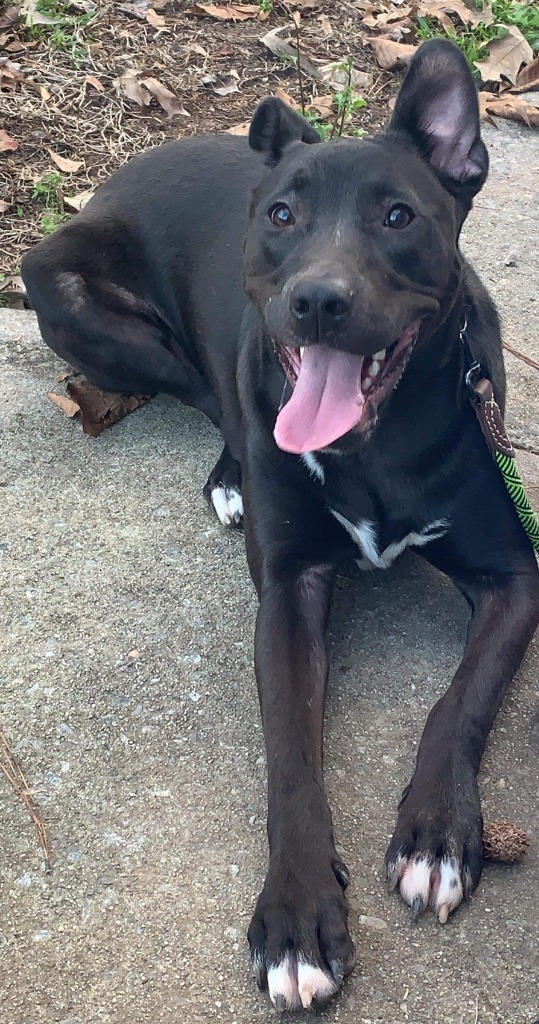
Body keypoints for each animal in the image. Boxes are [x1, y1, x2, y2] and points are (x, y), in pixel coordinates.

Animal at [23, 37, 536, 1007]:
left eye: (398, 216)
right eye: (283, 215)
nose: (317, 300)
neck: (375, 443)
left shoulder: (514, 575)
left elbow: (459, 701)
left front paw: (436, 833)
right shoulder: (288, 594)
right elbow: (291, 754)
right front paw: (298, 917)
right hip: (69, 293)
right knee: (210, 390)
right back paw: (231, 475)